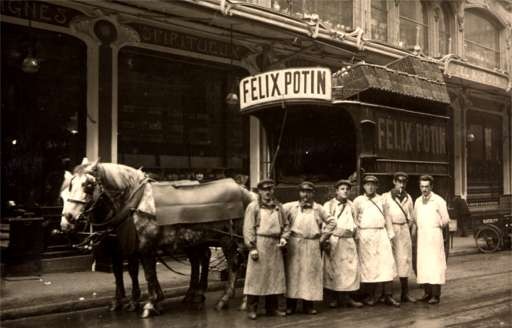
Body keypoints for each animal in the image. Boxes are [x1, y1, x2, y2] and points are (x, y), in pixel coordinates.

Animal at [61, 160, 255, 316]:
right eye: (70, 186)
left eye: (88, 185)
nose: (67, 219)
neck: (135, 203)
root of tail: (247, 192)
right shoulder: (124, 248)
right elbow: (126, 272)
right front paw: (131, 302)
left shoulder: (145, 246)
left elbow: (147, 273)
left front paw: (150, 303)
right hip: (197, 239)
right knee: (202, 259)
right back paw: (197, 294)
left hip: (228, 239)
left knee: (235, 263)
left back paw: (227, 298)